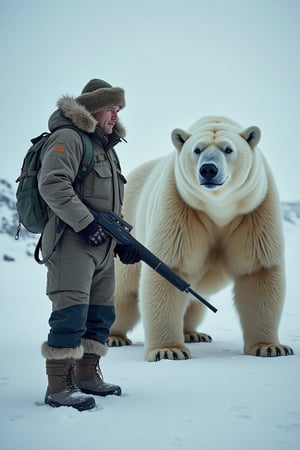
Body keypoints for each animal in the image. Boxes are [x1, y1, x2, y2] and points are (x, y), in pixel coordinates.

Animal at [108, 116, 292, 362]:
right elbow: (169, 268)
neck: (219, 209)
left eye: (228, 149)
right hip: (130, 214)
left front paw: (271, 347)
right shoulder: (180, 207)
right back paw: (113, 336)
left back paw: (194, 333)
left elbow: (258, 270)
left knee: (194, 300)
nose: (208, 169)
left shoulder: (255, 210)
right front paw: (169, 350)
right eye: (197, 149)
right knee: (123, 288)